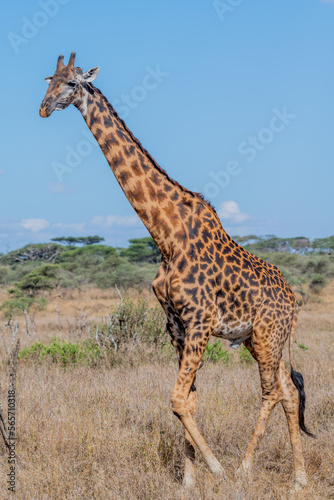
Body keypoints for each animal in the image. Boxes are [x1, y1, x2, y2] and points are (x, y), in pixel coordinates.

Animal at [41, 52, 314, 490]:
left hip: (269, 335)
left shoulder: (200, 319)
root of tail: (294, 299)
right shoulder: (177, 325)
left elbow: (176, 399)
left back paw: (245, 469)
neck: (165, 235)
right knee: (288, 391)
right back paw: (298, 479)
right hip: (257, 339)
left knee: (272, 391)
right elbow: (189, 400)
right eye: (48, 80)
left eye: (72, 83)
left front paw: (216, 469)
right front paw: (188, 480)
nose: (44, 108)